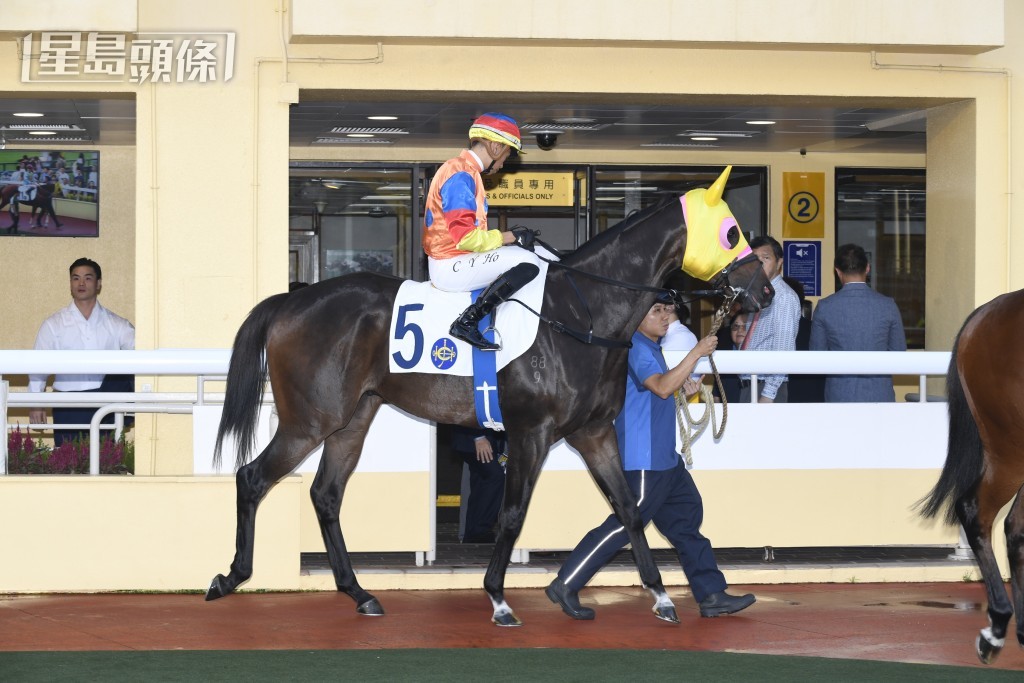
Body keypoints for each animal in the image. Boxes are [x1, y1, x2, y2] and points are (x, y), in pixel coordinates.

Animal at [207, 165, 775, 626]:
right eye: (731, 232)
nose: (765, 290)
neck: (582, 312)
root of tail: (291, 300)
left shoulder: (594, 433)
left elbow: (628, 510)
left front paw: (659, 596)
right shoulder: (532, 432)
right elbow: (513, 513)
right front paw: (499, 599)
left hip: (353, 418)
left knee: (326, 494)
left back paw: (359, 592)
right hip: (311, 419)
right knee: (252, 476)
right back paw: (230, 576)